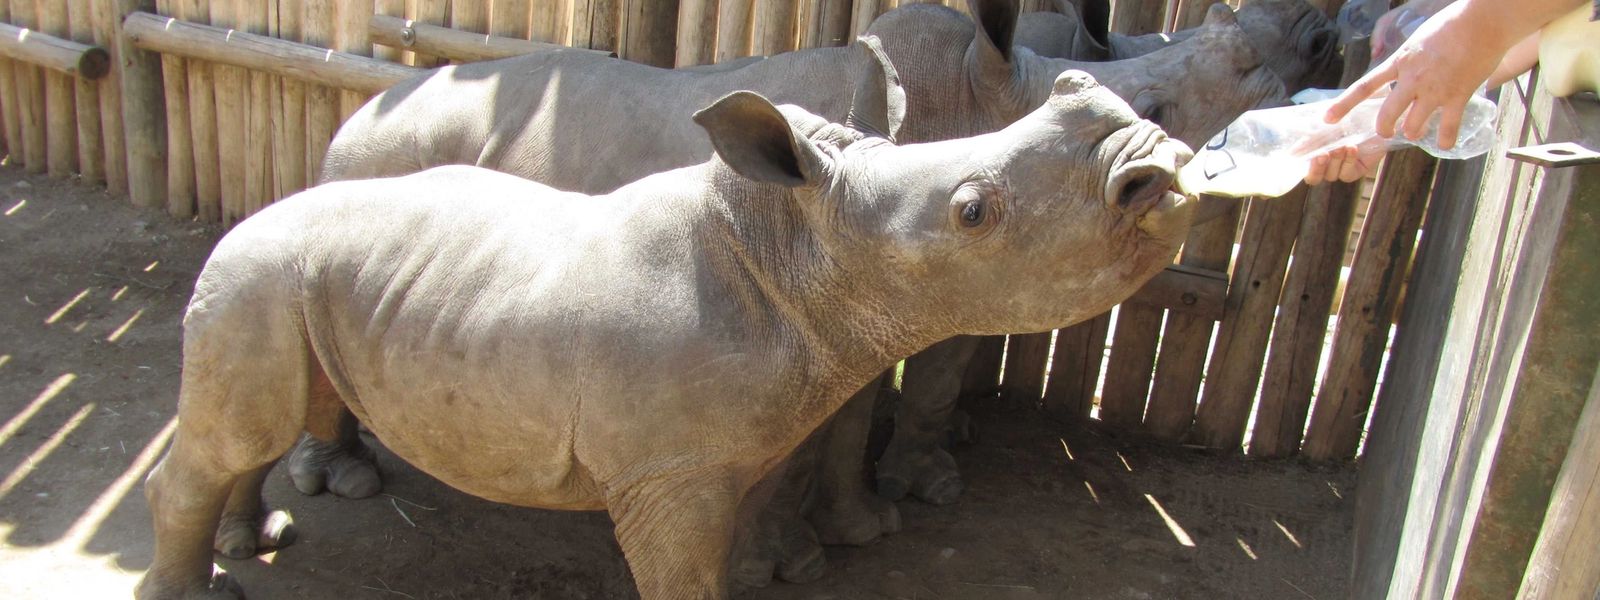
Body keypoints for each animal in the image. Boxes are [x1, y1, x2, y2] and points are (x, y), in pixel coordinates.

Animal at [134, 66, 1194, 599]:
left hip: (291, 281)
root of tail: (248, 215)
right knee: (234, 430)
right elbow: (683, 573)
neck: (795, 244)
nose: (1153, 165)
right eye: (973, 212)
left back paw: (256, 538)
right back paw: (207, 586)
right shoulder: (668, 470)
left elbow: (740, 537)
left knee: (249, 432)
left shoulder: (741, 440)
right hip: (257, 277)